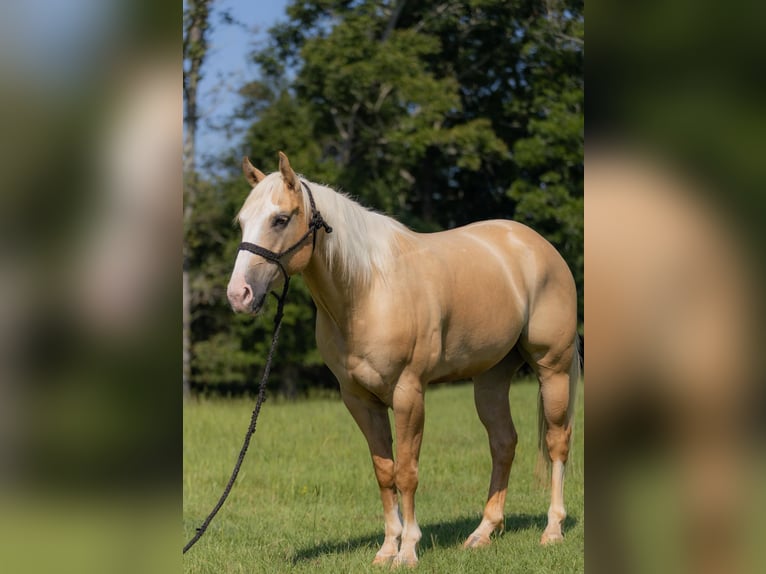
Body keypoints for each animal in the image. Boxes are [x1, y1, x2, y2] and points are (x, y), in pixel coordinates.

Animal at [228, 152, 584, 568]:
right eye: (242, 221)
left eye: (280, 219)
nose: (239, 294)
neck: (368, 291)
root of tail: (539, 246)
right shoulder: (359, 400)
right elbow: (385, 472)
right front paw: (387, 548)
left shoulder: (408, 393)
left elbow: (407, 471)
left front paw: (409, 550)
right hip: (491, 378)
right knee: (503, 443)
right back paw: (482, 533)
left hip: (553, 368)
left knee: (557, 442)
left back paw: (553, 530)